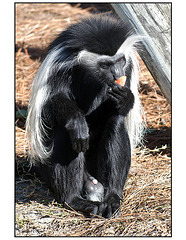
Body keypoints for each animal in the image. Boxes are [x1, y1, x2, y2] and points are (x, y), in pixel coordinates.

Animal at [26, 14, 145, 218]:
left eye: (120, 61)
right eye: (105, 65)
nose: (117, 74)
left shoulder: (128, 68)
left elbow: (121, 109)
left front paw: (124, 99)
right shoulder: (60, 66)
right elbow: (53, 101)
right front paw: (76, 121)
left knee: (116, 122)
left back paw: (112, 199)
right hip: (51, 167)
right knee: (67, 132)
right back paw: (75, 200)